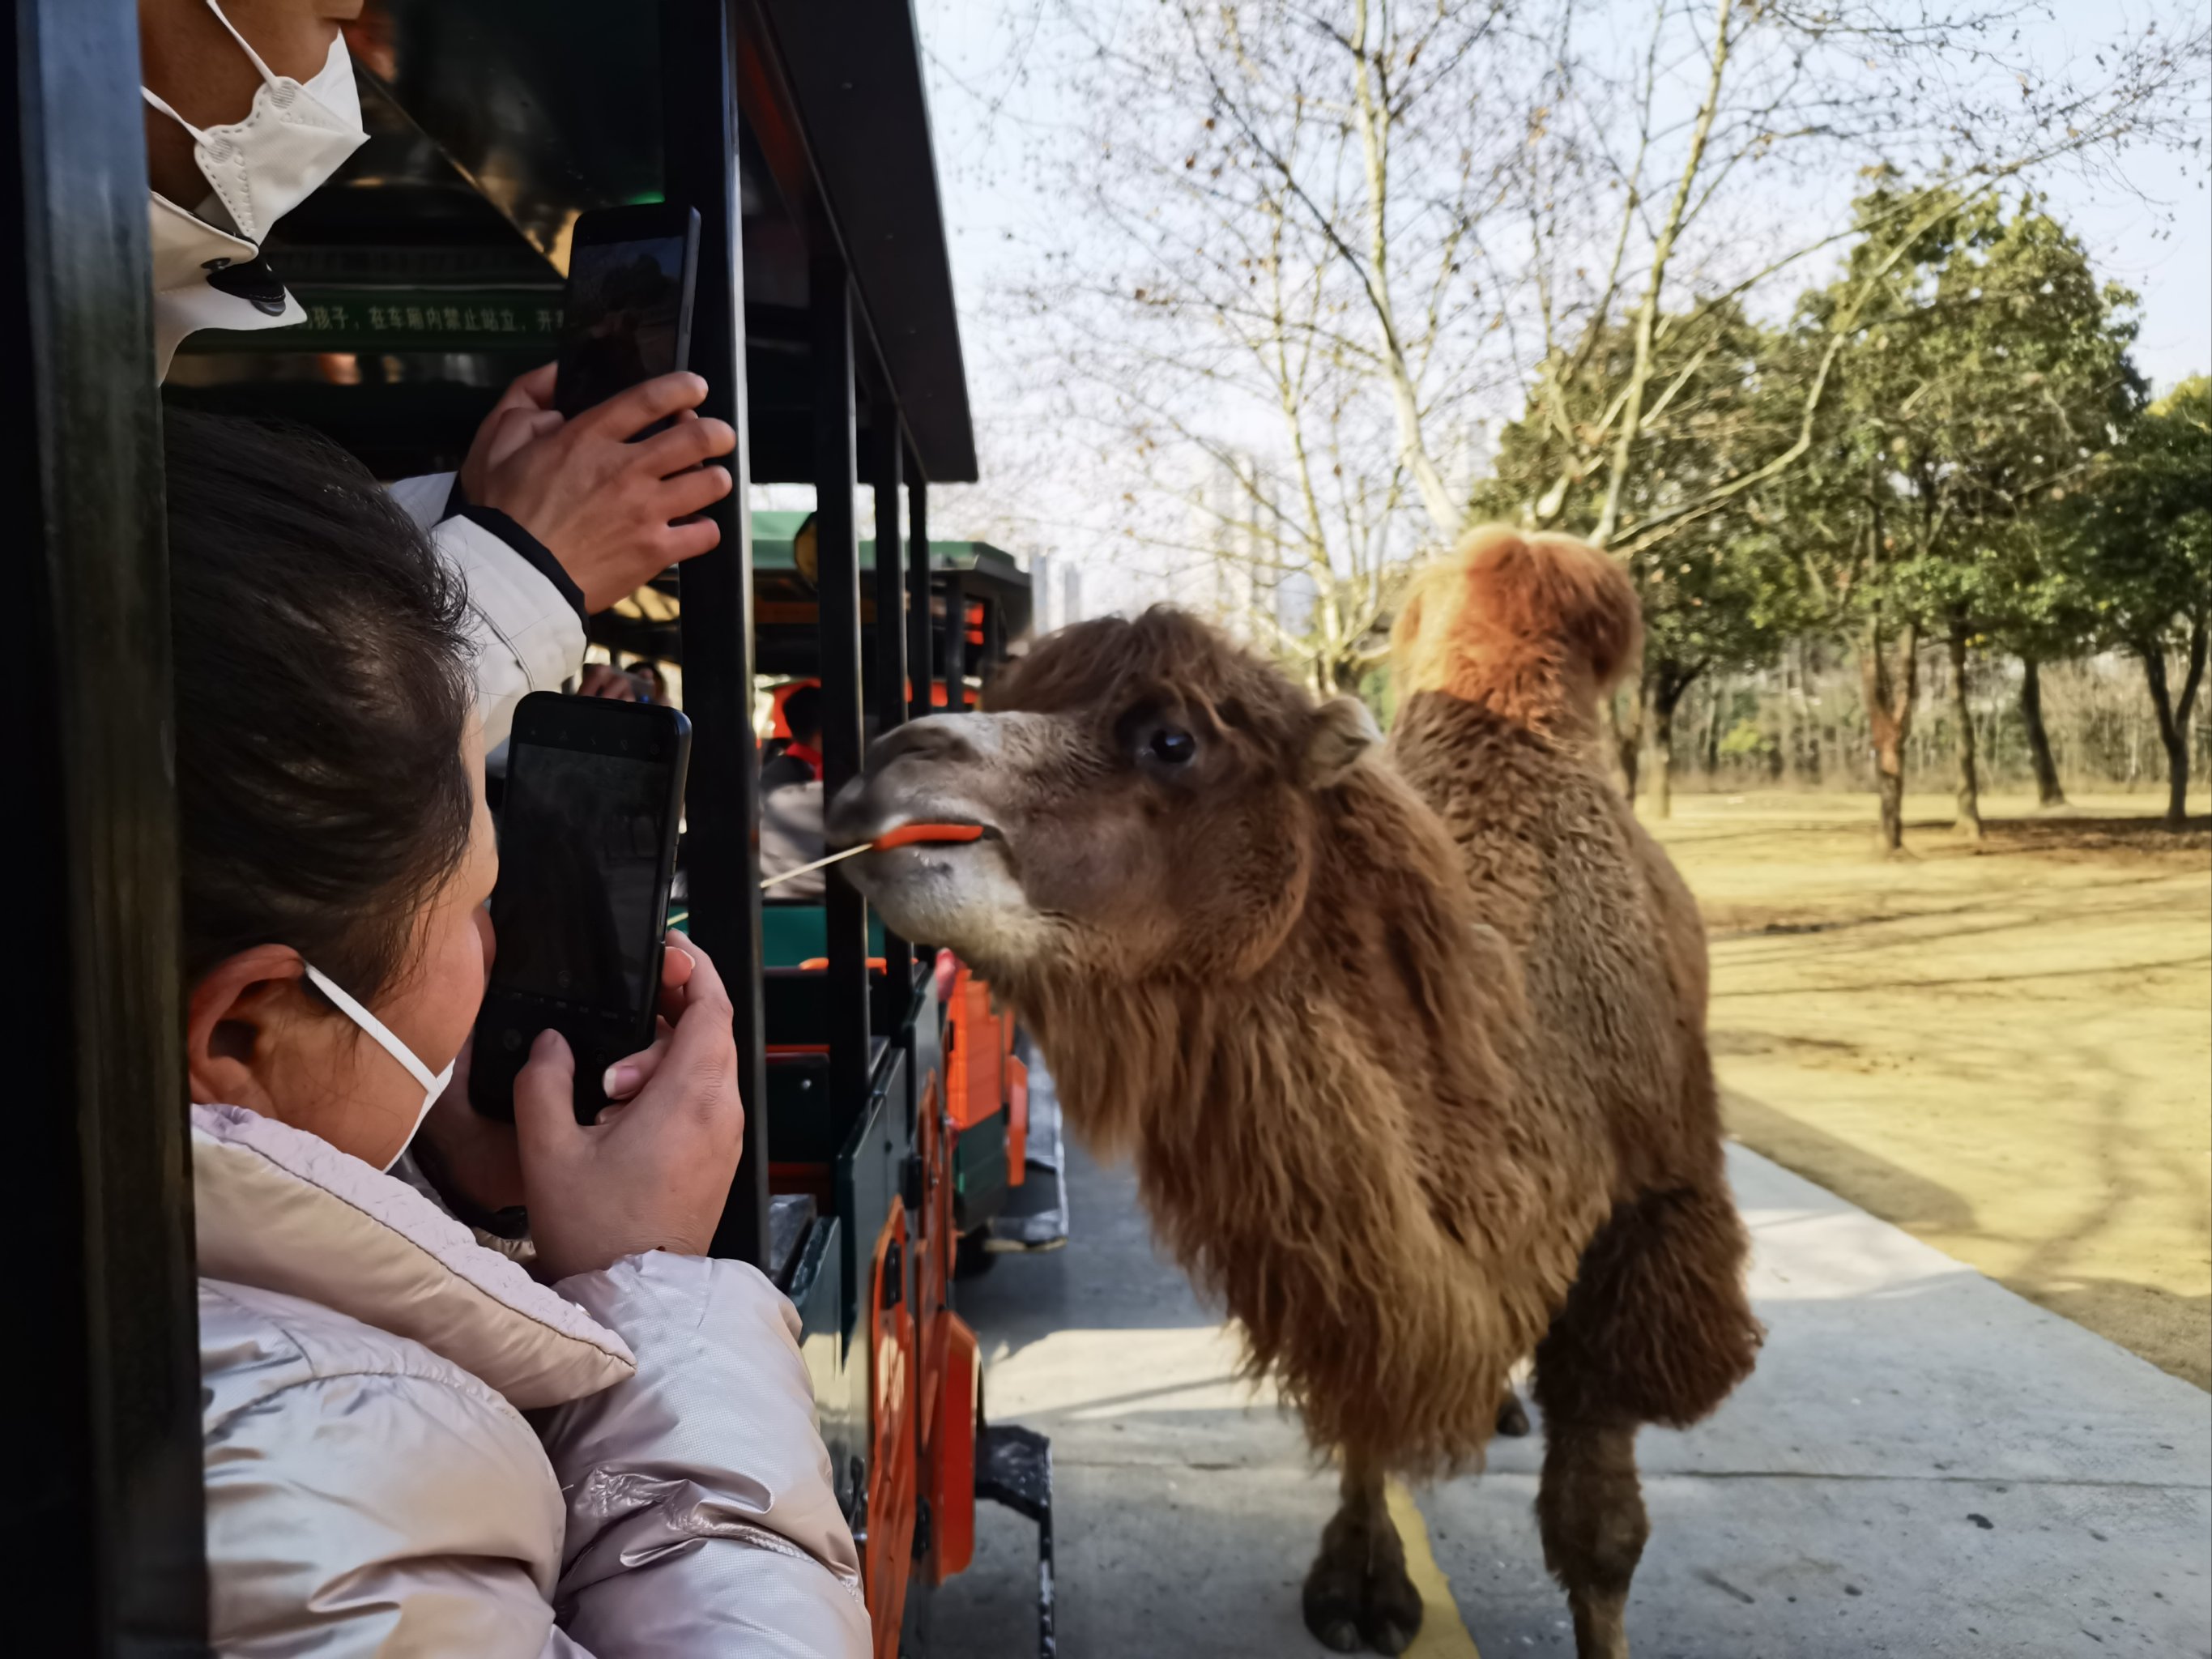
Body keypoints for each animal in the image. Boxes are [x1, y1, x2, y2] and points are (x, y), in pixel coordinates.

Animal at [831, 526, 1760, 1654]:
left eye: (1172, 739)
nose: (885, 767)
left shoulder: (1652, 1221)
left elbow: (1602, 1532)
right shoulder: (1353, 1260)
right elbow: (1366, 1391)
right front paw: (1362, 1584)